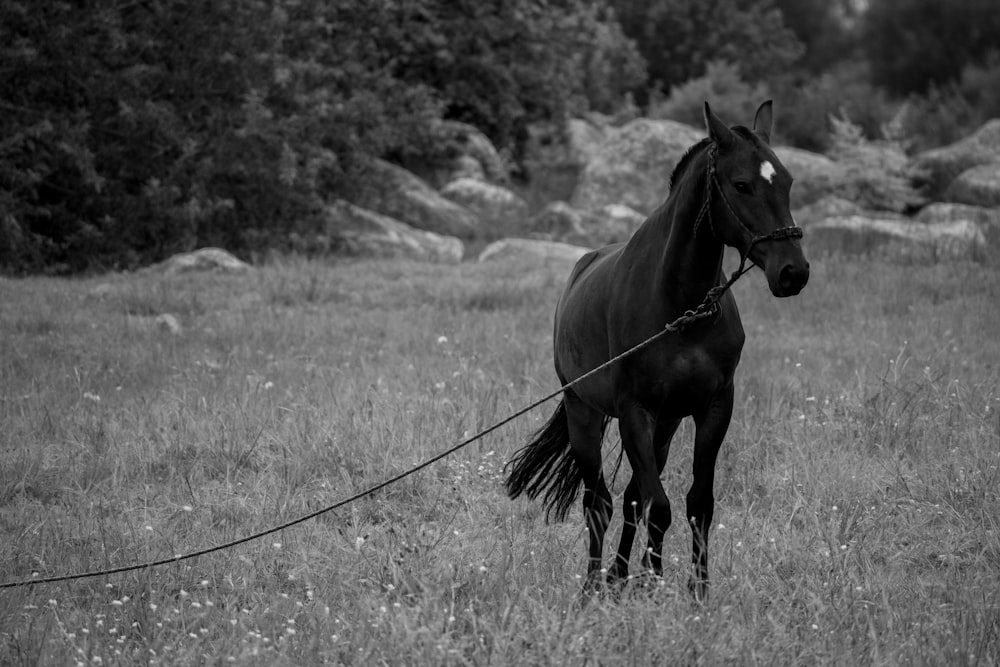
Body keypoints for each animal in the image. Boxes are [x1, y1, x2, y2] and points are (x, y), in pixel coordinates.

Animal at [504, 100, 808, 600]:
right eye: (741, 184)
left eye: (785, 181)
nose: (793, 272)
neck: (682, 308)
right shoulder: (635, 412)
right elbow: (659, 506)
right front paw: (655, 581)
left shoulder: (713, 408)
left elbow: (696, 503)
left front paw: (694, 588)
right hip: (584, 414)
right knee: (599, 502)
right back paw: (594, 585)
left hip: (664, 427)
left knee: (630, 498)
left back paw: (618, 576)